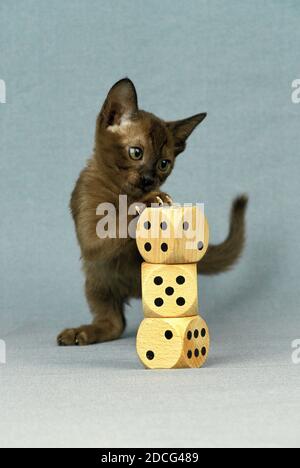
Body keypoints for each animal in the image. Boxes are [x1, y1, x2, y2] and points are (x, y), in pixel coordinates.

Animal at [57, 78, 247, 346]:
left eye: (163, 164)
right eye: (136, 152)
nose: (149, 180)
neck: (123, 193)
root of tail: (135, 291)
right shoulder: (91, 236)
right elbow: (118, 221)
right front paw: (149, 200)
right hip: (96, 278)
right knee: (115, 323)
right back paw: (79, 334)